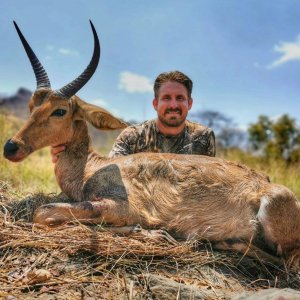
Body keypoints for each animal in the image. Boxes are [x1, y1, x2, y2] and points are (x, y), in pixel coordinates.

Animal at [3, 21, 300, 268]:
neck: (92, 167)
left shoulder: (119, 206)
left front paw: (152, 231)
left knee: (285, 260)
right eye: (32, 105)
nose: (11, 147)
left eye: (60, 110)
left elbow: (42, 212)